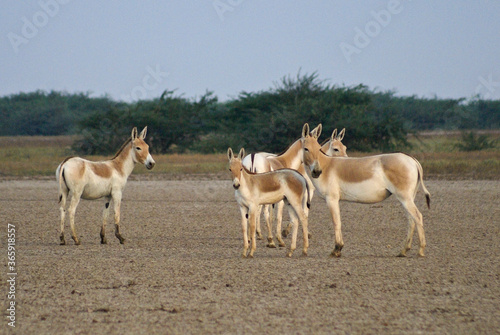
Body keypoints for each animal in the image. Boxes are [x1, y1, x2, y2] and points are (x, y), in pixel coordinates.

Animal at [300, 124, 430, 258]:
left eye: (318, 149)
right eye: (306, 149)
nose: (317, 172)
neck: (327, 166)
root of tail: (412, 159)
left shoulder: (331, 199)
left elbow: (336, 222)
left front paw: (336, 249)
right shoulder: (335, 199)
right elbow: (339, 221)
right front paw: (339, 248)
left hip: (404, 197)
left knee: (418, 216)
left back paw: (421, 250)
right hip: (408, 197)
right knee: (411, 220)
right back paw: (404, 250)